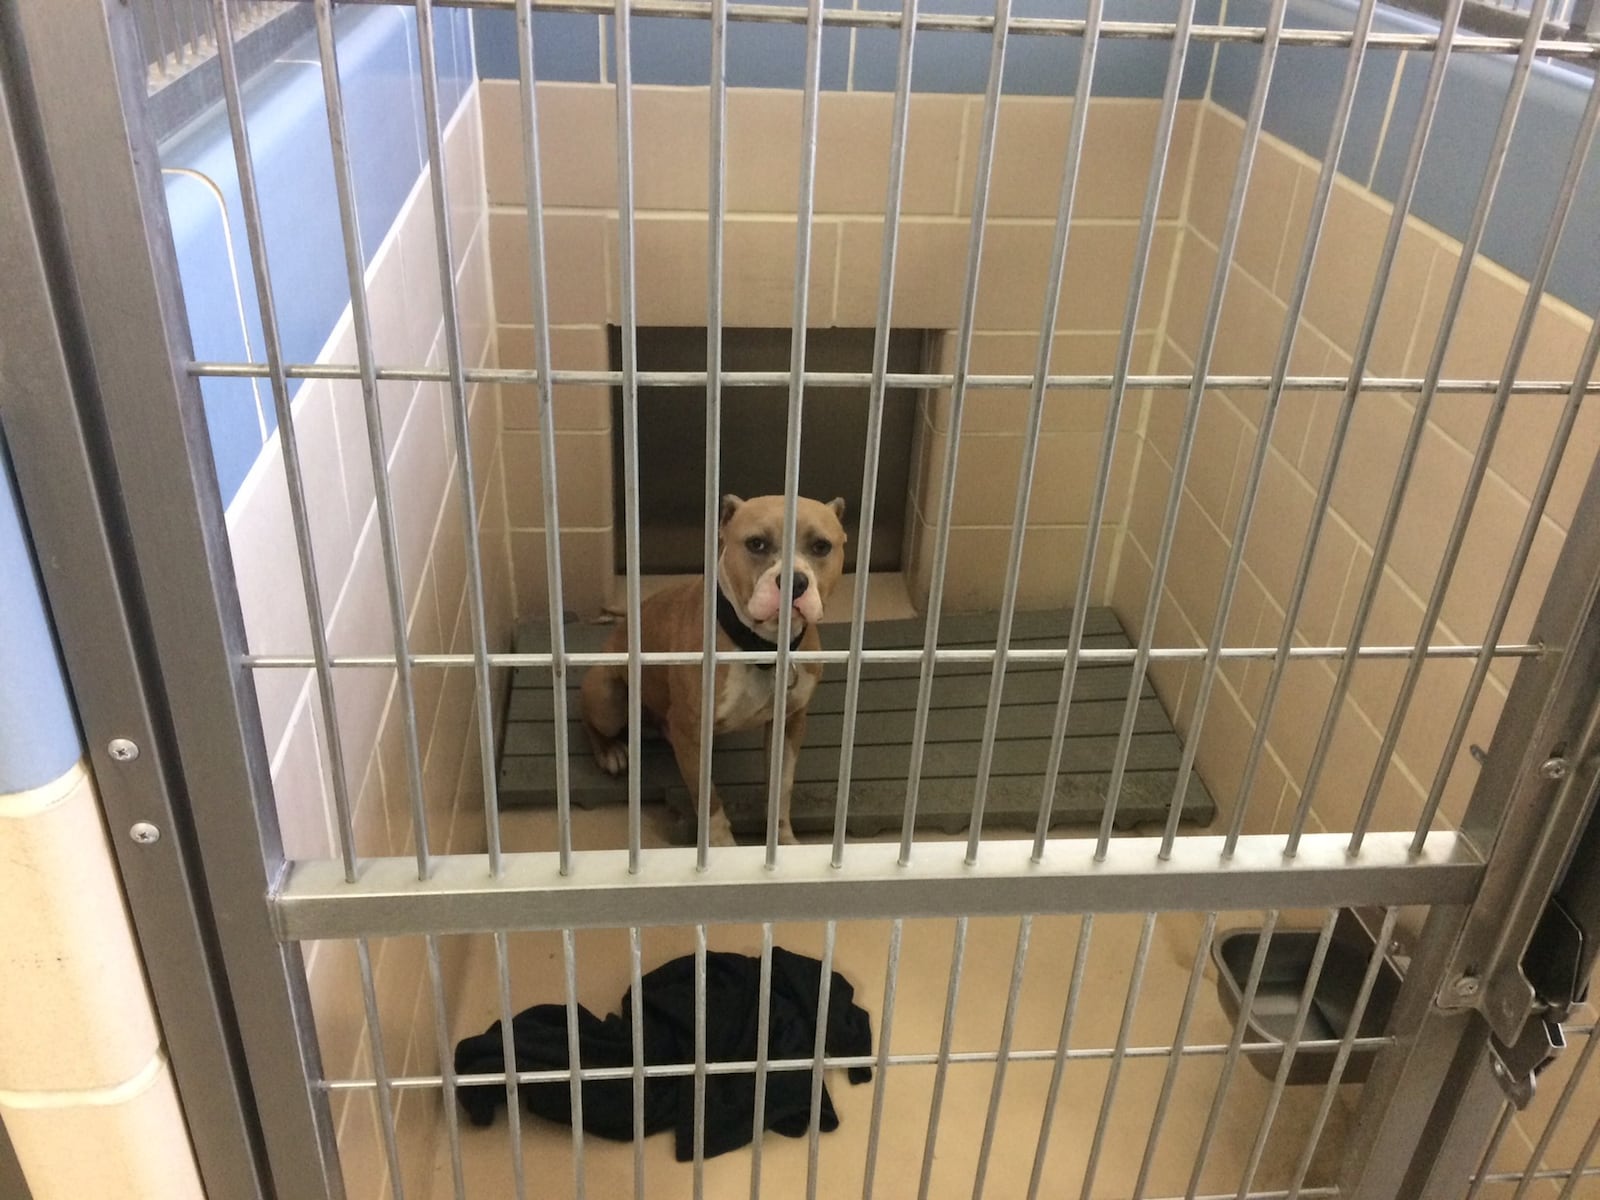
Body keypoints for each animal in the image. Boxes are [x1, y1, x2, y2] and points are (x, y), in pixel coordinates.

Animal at [579, 492, 851, 851]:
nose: (795, 581)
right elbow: (709, 800)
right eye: (756, 544)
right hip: (607, 698)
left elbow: (781, 790)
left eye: (821, 547)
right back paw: (610, 752)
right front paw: (722, 850)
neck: (759, 647)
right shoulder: (692, 730)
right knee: (591, 722)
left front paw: (782, 843)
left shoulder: (791, 723)